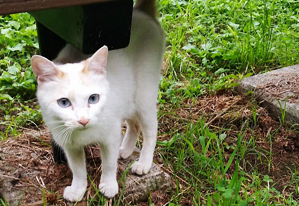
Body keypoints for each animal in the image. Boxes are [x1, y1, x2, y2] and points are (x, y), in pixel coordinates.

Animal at [30, 0, 165, 201]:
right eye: (64, 103)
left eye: (93, 99)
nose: (83, 120)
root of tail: (141, 11)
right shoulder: (69, 145)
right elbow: (77, 169)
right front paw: (78, 189)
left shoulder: (110, 136)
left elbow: (108, 164)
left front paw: (108, 186)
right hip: (128, 99)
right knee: (134, 124)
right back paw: (125, 150)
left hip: (143, 96)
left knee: (150, 131)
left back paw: (143, 163)